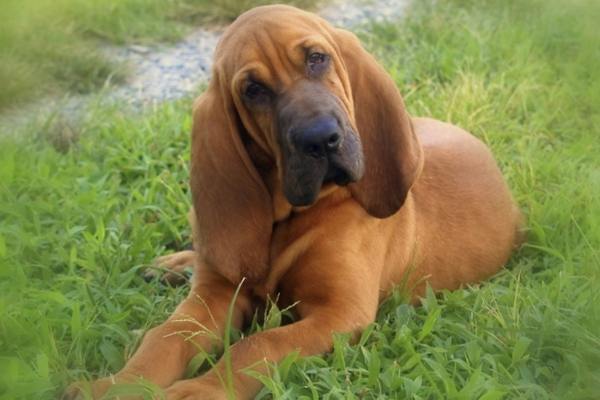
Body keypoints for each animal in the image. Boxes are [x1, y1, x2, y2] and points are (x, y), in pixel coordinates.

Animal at [64, 3, 520, 400]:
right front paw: (115, 386)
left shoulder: (340, 314)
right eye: (253, 90)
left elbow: (256, 346)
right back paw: (172, 265)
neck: (290, 215)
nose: (320, 139)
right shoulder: (214, 297)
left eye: (318, 59)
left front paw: (198, 391)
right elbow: (164, 337)